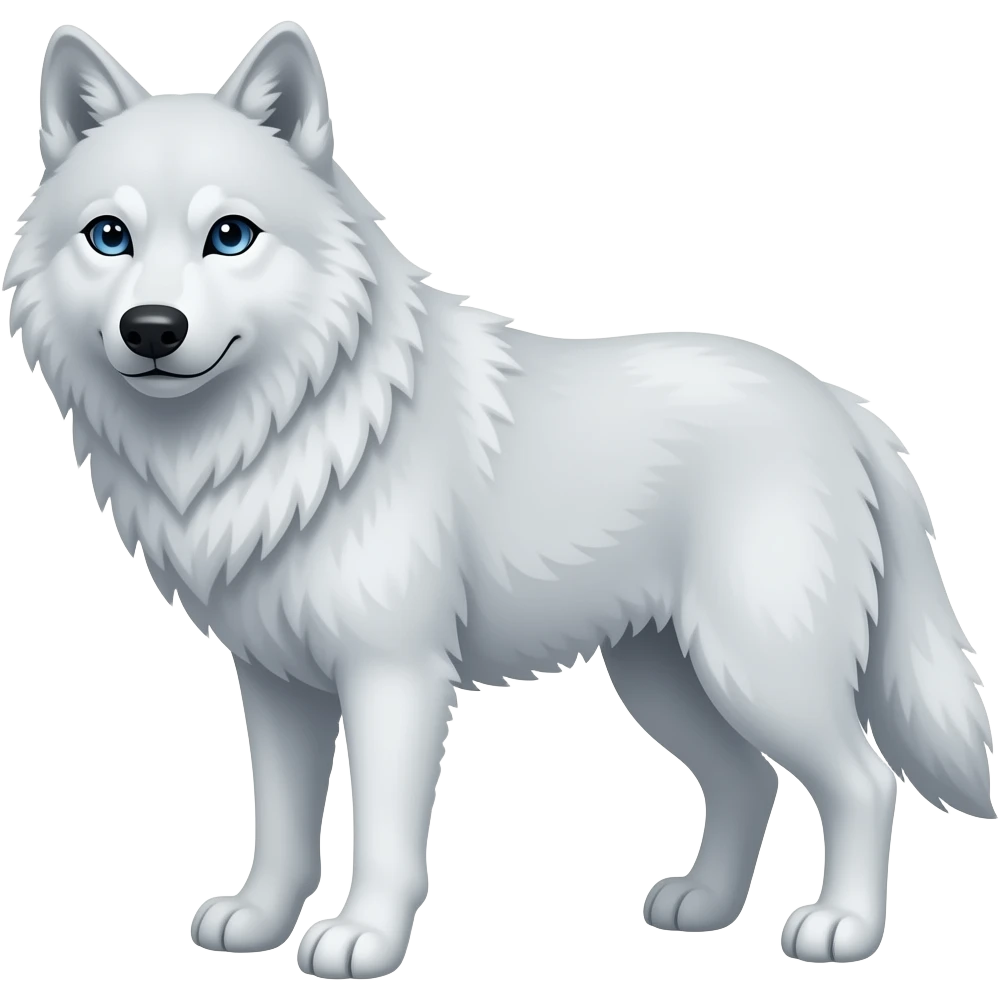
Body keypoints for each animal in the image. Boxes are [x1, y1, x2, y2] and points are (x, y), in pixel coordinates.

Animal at [5, 19, 994, 979]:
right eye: (109, 236)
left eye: (230, 235)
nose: (152, 330)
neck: (293, 431)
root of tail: (841, 403)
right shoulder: (277, 682)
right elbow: (281, 827)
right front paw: (257, 922)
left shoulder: (394, 675)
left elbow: (385, 836)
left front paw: (362, 942)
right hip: (666, 677)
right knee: (748, 781)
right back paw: (704, 909)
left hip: (757, 669)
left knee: (862, 781)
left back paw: (843, 929)